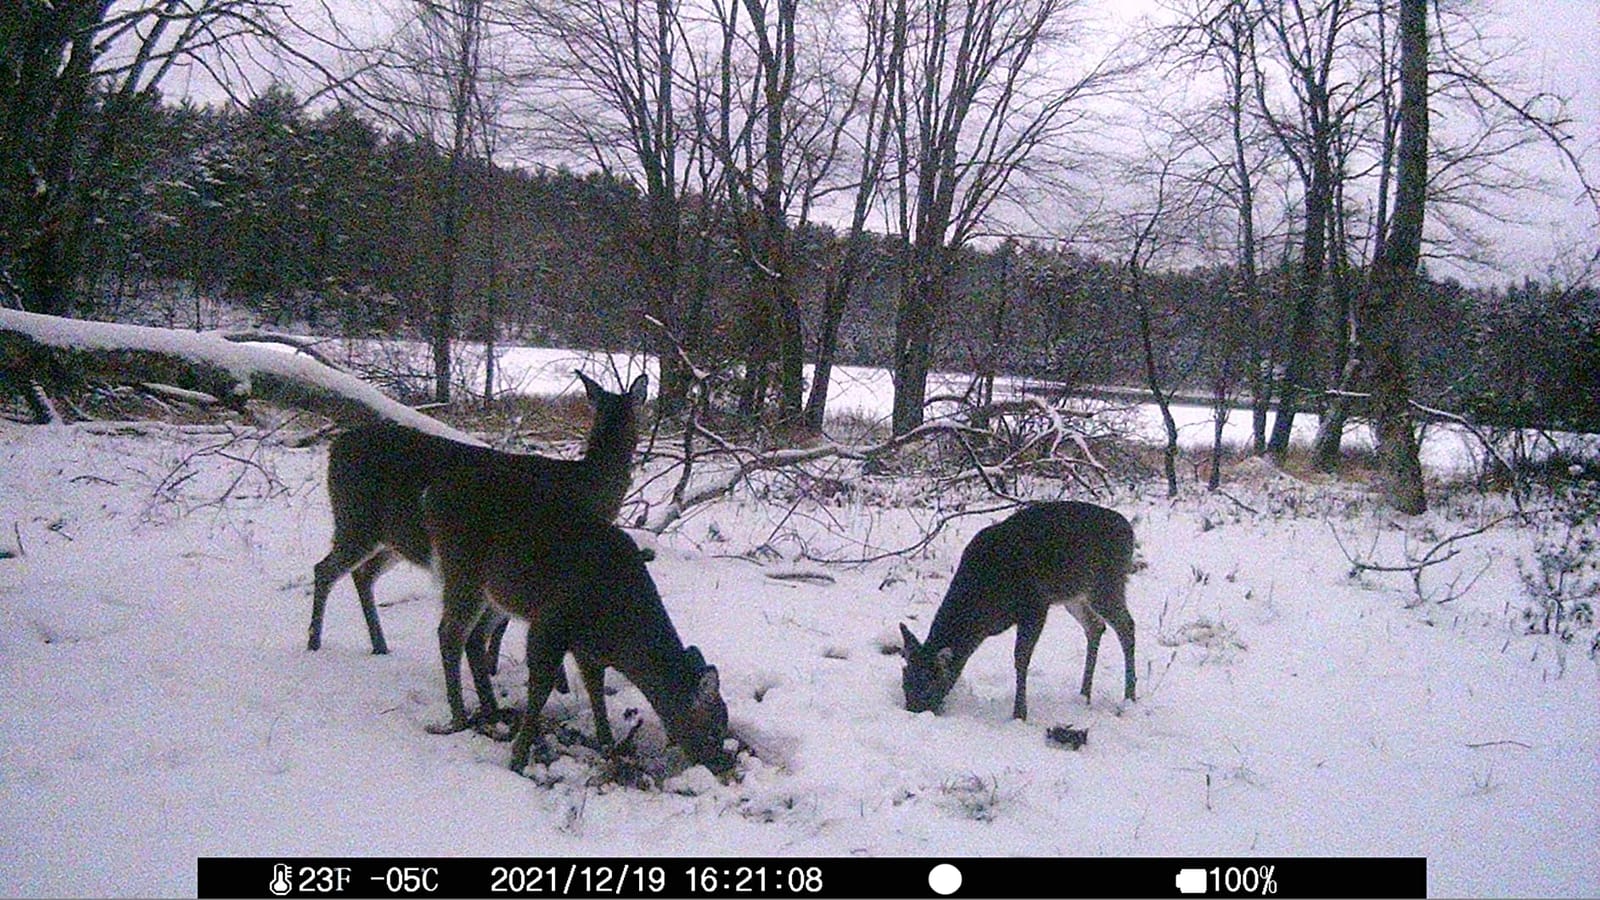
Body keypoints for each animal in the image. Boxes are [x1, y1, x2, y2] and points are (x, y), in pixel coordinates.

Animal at [308, 371, 647, 674]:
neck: (585, 485)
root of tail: (335, 447)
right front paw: (496, 667)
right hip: (356, 519)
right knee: (324, 569)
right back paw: (314, 643)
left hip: (394, 538)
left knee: (362, 574)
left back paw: (379, 645)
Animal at [423, 485, 731, 773]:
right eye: (714, 729)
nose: (721, 764)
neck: (617, 628)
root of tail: (432, 499)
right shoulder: (549, 622)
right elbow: (541, 689)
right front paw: (518, 758)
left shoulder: (588, 649)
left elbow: (596, 690)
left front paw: (608, 746)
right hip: (463, 570)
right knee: (449, 633)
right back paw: (459, 718)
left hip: (497, 594)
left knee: (474, 637)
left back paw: (492, 711)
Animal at [898, 501, 1137, 721]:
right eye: (905, 681)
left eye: (931, 684)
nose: (913, 711)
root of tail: (1129, 530)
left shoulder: (1036, 603)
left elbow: (1021, 658)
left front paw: (1019, 713)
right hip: (1074, 595)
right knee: (1095, 626)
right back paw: (1084, 695)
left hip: (1106, 581)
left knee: (1126, 626)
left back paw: (1129, 698)